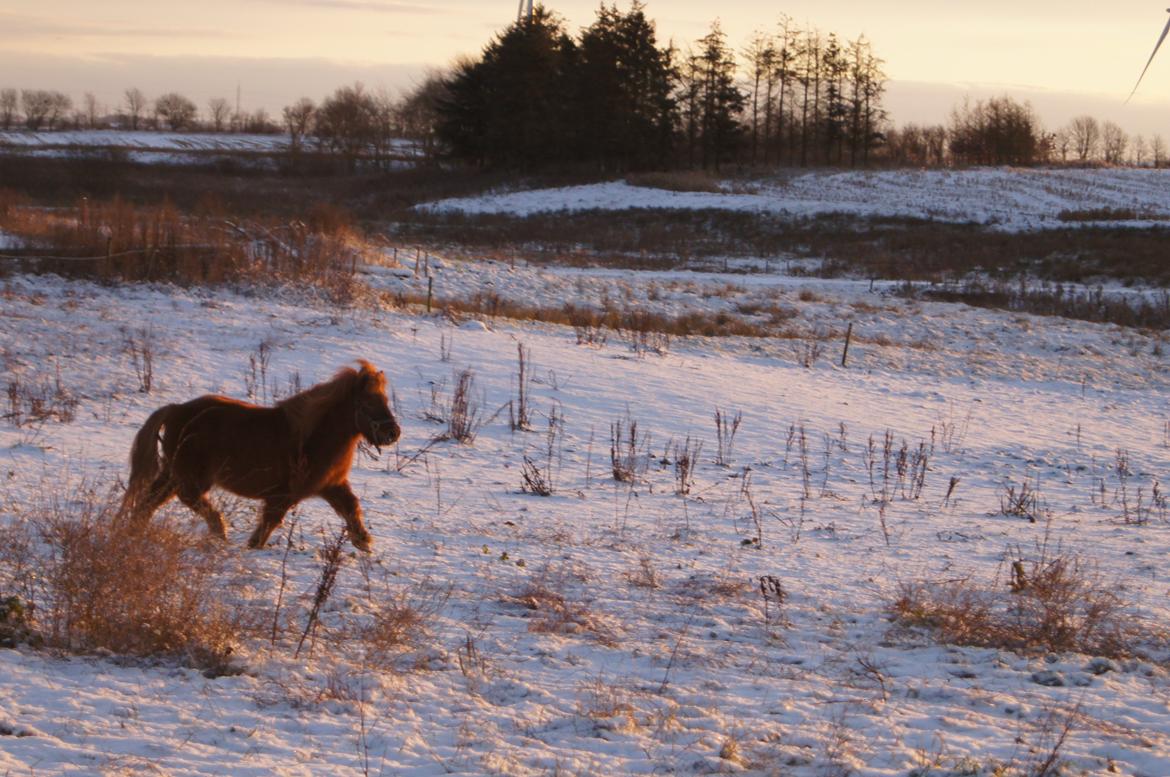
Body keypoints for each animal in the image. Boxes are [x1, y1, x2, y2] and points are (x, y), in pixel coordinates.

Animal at [120, 360, 400, 549]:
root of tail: (176, 409)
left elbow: (351, 506)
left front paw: (363, 542)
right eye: (369, 402)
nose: (393, 433)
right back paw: (219, 529)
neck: (313, 438)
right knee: (186, 497)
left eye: (385, 400)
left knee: (149, 502)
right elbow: (269, 523)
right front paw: (253, 547)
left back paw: (134, 532)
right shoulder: (283, 495)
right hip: (190, 476)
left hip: (172, 473)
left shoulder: (332, 485)